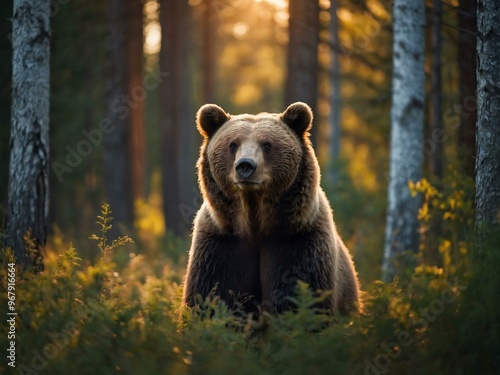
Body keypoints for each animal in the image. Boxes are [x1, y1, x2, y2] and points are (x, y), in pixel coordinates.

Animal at [182, 102, 362, 314]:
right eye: (232, 144)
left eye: (267, 144)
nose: (245, 166)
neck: (255, 221)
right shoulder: (220, 243)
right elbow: (209, 296)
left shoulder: (299, 242)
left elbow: (299, 298)